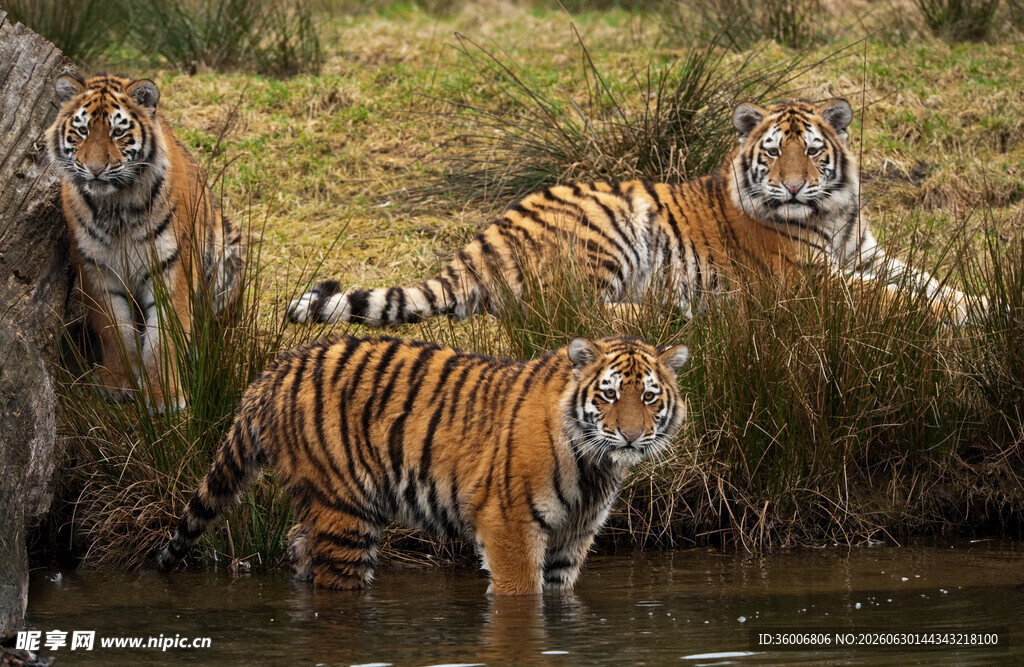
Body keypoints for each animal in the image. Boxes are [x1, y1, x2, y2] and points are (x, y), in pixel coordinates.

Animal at [47, 73, 245, 410]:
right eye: (82, 131)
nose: (95, 170)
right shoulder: (96, 266)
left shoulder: (172, 264)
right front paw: (117, 381)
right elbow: (114, 328)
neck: (115, 206)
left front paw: (163, 394)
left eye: (118, 132)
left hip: (225, 257)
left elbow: (164, 334)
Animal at [156, 334, 690, 595]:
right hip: (346, 511)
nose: (631, 435)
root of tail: (272, 372)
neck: (594, 466)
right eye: (609, 395)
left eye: (648, 397)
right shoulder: (509, 526)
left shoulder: (572, 537)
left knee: (297, 543)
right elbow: (522, 595)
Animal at [288, 98, 985, 328]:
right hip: (613, 226)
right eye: (771, 153)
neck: (832, 215)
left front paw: (981, 303)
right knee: (566, 310)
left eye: (813, 151)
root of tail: (481, 239)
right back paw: (676, 310)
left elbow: (927, 281)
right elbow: (892, 298)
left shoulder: (869, 254)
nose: (791, 189)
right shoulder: (808, 278)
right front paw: (961, 315)